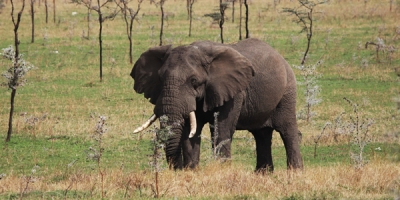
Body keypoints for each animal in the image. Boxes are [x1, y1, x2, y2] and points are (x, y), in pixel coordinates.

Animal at [131, 38, 304, 173]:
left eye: (194, 81)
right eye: (160, 78)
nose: (177, 169)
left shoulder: (234, 92)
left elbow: (221, 130)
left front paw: (222, 171)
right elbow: (190, 131)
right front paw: (192, 171)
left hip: (287, 91)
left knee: (287, 130)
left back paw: (295, 173)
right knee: (261, 134)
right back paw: (263, 174)